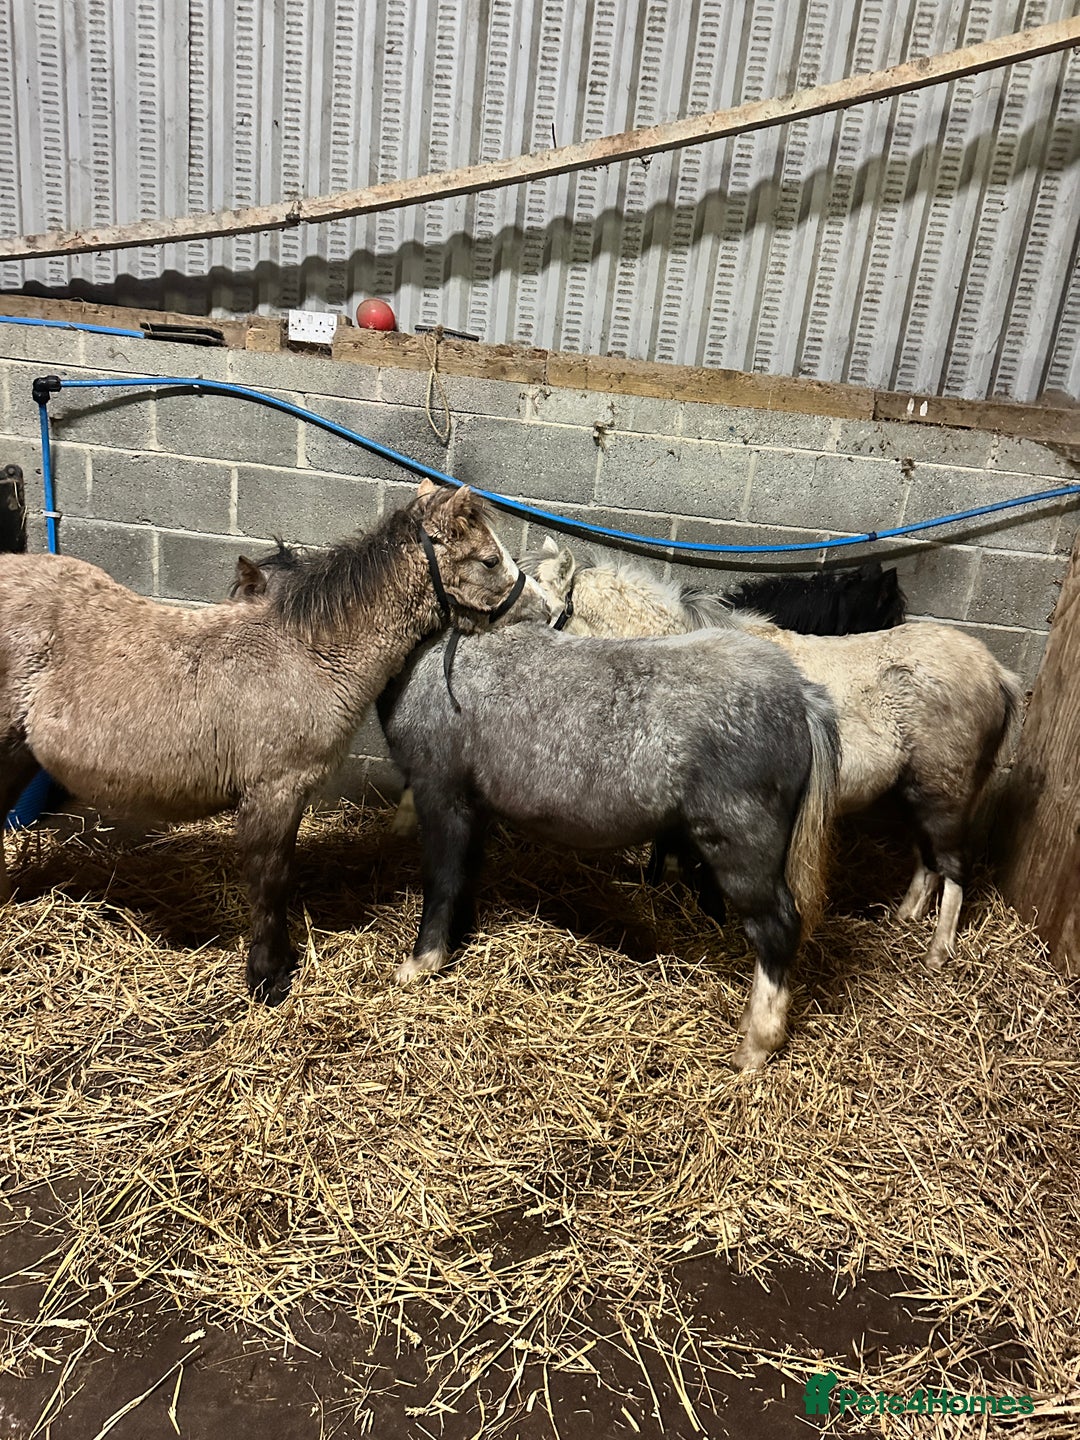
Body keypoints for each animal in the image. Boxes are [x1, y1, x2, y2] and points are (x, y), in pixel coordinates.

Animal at [0, 480, 527, 1003]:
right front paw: (269, 977)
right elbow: (270, 880)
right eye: (489, 560)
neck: (305, 652)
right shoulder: (274, 791)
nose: (535, 609)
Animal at [377, 624, 840, 1070]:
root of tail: (802, 700)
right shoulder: (475, 804)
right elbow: (466, 872)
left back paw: (756, 1044)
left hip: (742, 844)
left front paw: (421, 963)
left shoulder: (441, 791)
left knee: (777, 927)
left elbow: (442, 879)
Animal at [530, 543, 1023, 970]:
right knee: (928, 859)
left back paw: (938, 951)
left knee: (954, 865)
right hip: (917, 792)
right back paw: (907, 917)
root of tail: (998, 674)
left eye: (540, 609)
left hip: (945, 791)